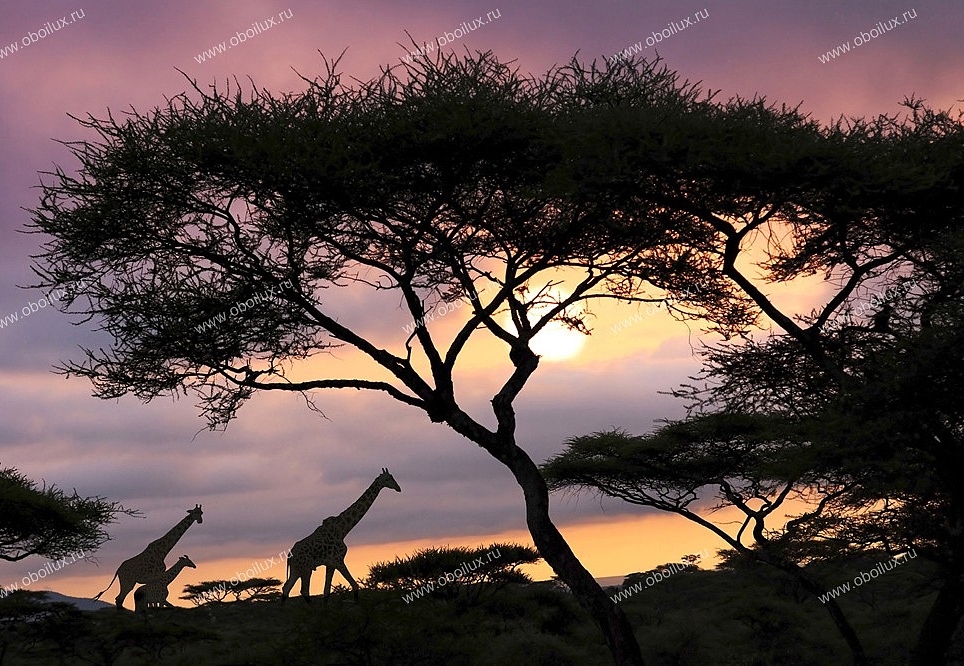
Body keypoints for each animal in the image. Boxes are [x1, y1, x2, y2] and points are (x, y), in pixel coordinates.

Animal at [282, 468, 400, 604]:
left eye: (392, 477)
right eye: (387, 479)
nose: (398, 488)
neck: (343, 530)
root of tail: (289, 555)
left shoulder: (330, 564)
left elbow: (326, 592)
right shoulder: (338, 560)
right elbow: (354, 585)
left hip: (296, 569)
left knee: (287, 588)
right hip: (305, 569)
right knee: (303, 590)